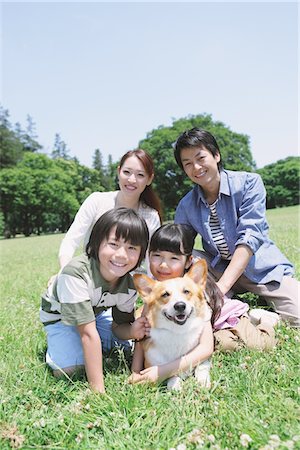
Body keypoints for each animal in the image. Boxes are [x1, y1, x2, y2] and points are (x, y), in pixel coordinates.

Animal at [132, 260, 212, 390]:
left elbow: (201, 367)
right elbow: (171, 374)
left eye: (186, 291)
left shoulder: (205, 356)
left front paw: (203, 382)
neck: (179, 331)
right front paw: (176, 385)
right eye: (165, 294)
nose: (180, 306)